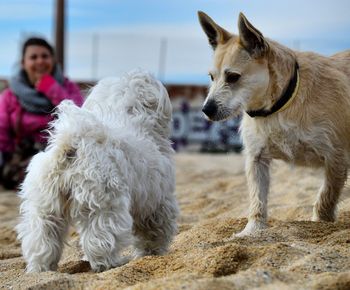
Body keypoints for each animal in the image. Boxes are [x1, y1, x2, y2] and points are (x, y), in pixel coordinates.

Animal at [15, 69, 179, 272]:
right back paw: (110, 264)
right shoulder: (158, 201)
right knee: (101, 237)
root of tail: (71, 146)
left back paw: (42, 269)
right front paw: (152, 253)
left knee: (41, 238)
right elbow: (155, 230)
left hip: (46, 207)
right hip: (102, 205)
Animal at [198, 11, 348, 237]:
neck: (278, 106)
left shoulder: (336, 158)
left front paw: (321, 223)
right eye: (211, 77)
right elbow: (257, 200)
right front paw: (252, 231)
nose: (206, 109)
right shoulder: (256, 159)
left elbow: (326, 196)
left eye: (232, 77)